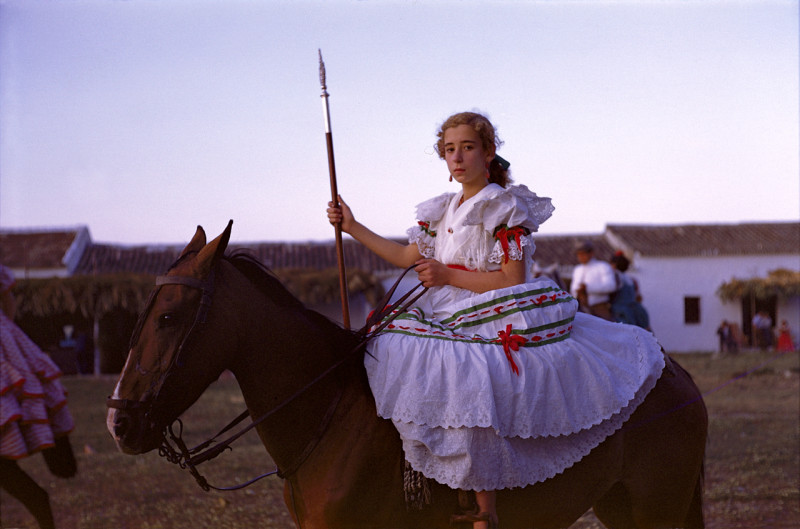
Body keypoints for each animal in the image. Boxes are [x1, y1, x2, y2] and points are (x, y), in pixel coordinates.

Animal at [104, 223, 708, 528]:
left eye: (167, 317)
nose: (118, 424)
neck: (328, 414)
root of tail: (676, 373)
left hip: (656, 509)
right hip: (621, 506)